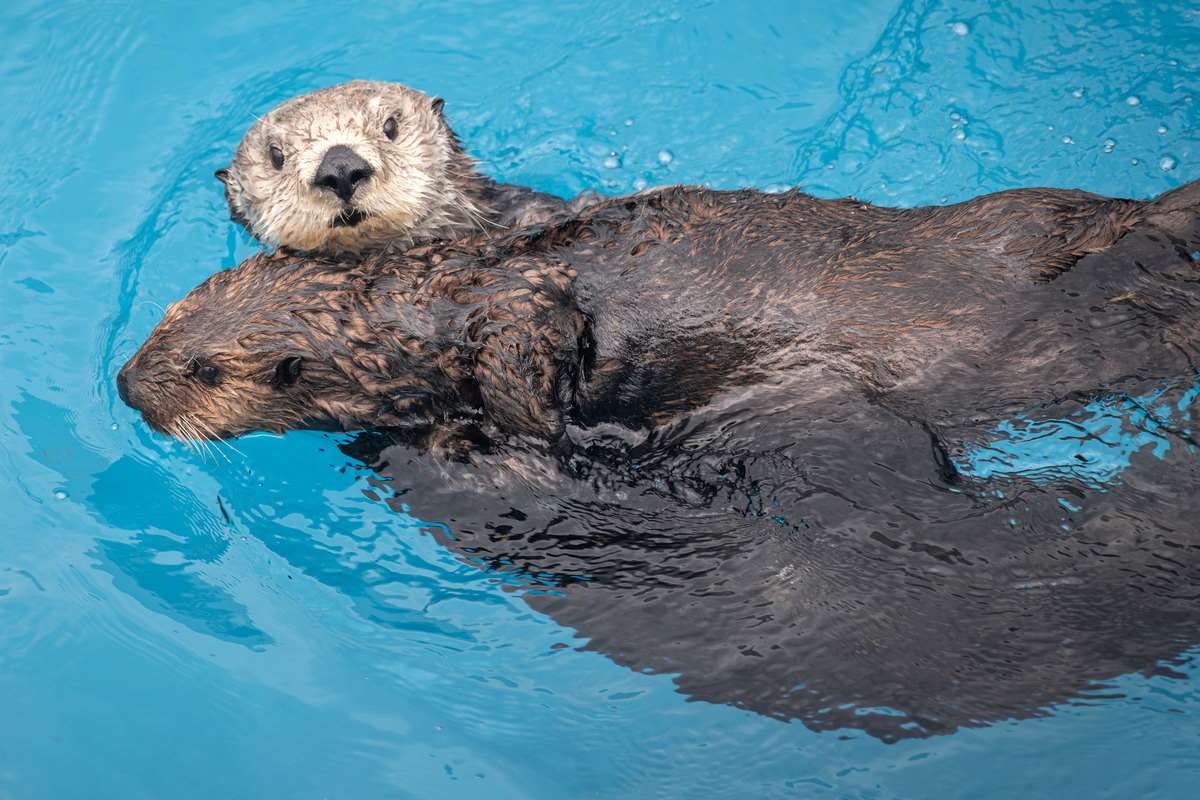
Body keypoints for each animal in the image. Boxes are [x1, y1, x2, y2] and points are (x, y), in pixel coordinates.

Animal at [114, 179, 1200, 738]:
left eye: (204, 369)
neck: (416, 313)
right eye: (166, 319)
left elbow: (536, 354)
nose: (127, 382)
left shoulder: (511, 316)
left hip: (1027, 251)